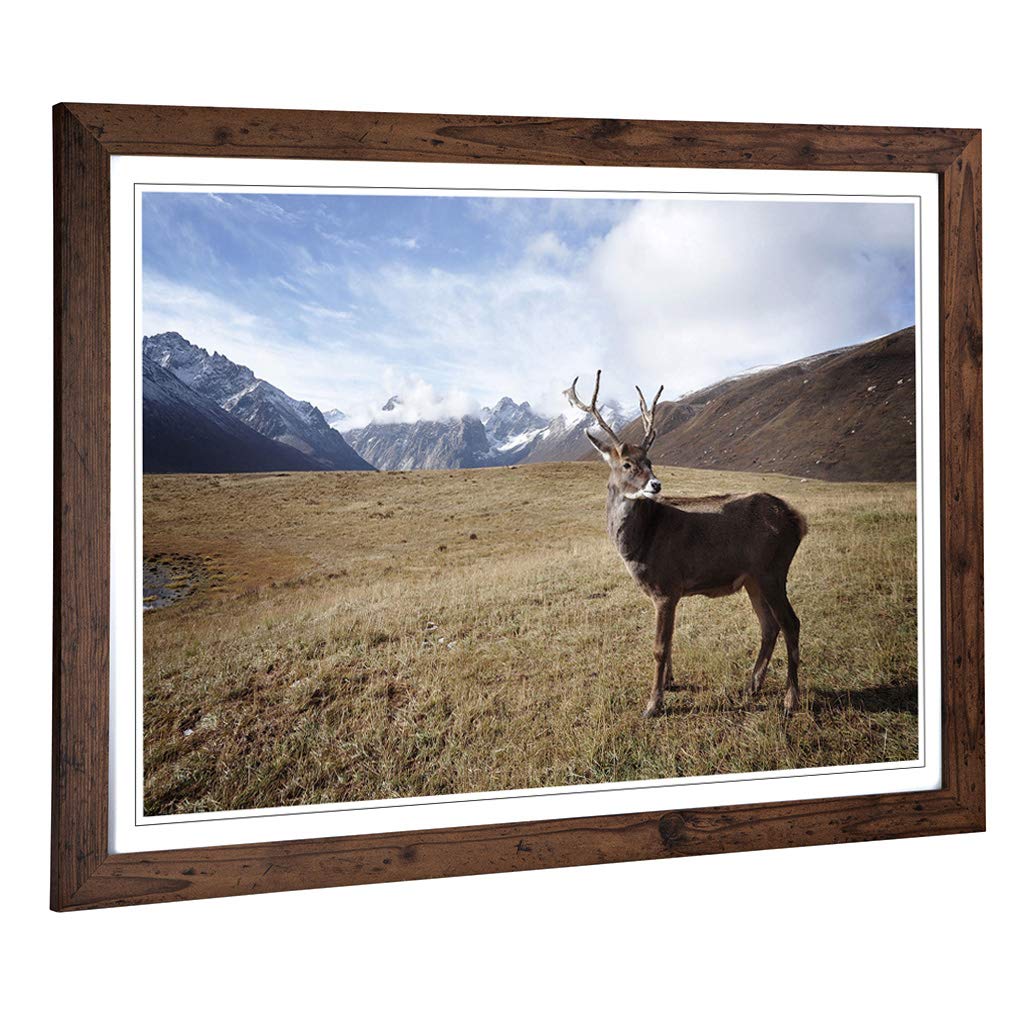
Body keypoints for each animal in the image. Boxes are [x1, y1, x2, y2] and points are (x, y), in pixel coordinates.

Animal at [566, 371, 808, 718]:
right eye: (627, 464)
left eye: (650, 460)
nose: (656, 484)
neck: (642, 542)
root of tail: (797, 519)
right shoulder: (671, 592)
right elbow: (669, 642)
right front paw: (669, 684)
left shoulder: (666, 586)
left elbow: (659, 647)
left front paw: (653, 704)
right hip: (754, 578)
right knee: (769, 625)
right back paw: (752, 685)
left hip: (773, 569)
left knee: (791, 623)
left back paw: (791, 699)